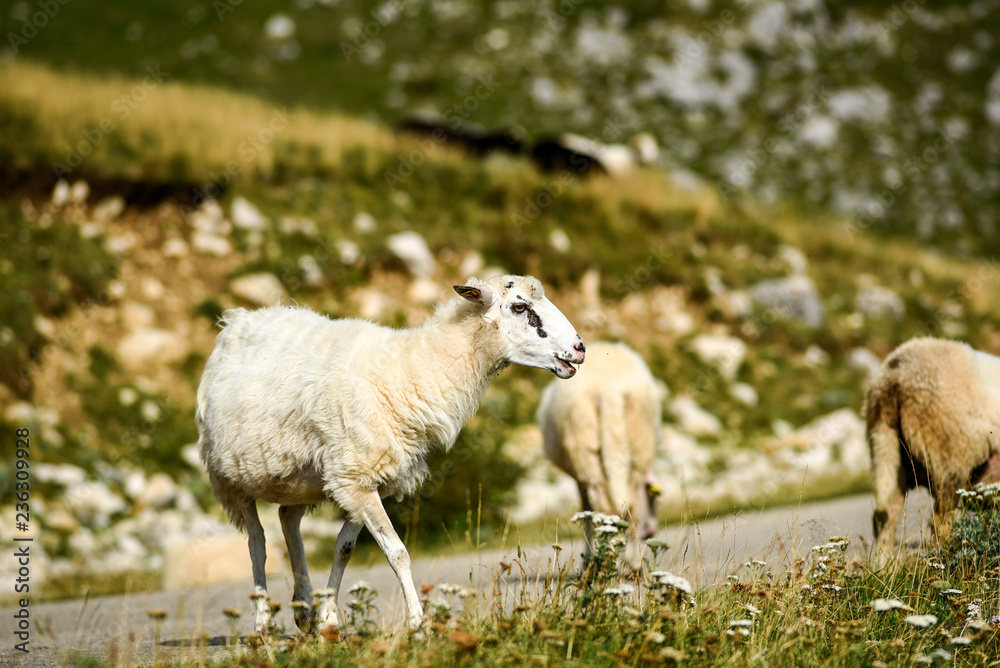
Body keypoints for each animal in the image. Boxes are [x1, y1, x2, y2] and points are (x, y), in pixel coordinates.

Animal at [196, 274, 585, 634]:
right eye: (519, 307)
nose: (580, 349)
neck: (408, 372)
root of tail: (239, 319)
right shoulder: (356, 479)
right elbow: (397, 553)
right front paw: (418, 624)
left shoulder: (362, 479)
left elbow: (344, 548)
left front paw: (328, 620)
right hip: (228, 478)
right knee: (258, 543)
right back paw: (263, 621)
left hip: (298, 477)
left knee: (288, 522)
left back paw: (304, 608)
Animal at [536, 341, 663, 571]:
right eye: (654, 499)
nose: (652, 532)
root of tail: (609, 387)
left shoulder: (579, 479)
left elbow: (586, 512)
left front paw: (588, 557)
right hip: (639, 445)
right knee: (630, 505)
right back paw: (632, 563)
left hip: (583, 448)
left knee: (604, 508)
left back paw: (609, 559)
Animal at [865, 336, 1000, 554]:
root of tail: (897, 374)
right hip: (949, 452)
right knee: (941, 521)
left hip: (884, 443)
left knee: (884, 516)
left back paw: (883, 562)